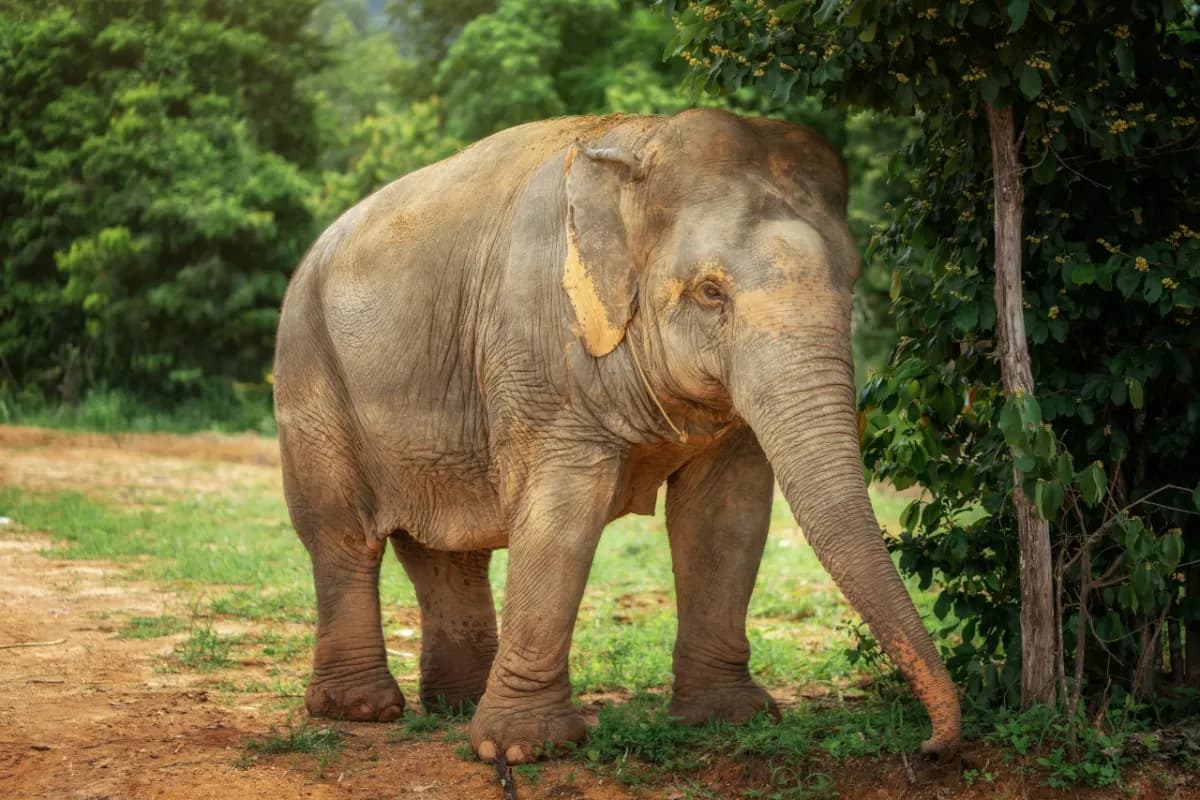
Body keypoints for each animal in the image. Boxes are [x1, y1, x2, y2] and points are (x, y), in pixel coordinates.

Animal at [272, 107, 961, 764]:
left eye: (851, 282)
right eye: (711, 291)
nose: (930, 746)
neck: (640, 143)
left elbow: (725, 516)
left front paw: (729, 719)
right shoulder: (539, 343)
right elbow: (563, 514)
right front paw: (524, 750)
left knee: (447, 546)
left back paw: (455, 704)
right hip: (309, 368)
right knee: (342, 535)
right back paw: (362, 710)